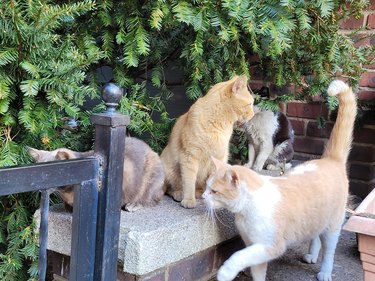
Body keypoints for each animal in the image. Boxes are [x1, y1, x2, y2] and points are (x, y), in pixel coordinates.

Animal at [27, 137, 166, 211]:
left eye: (48, 175)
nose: (39, 187)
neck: (66, 193)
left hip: (152, 175)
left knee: (153, 198)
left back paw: (134, 204)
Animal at [160, 75, 254, 207]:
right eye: (250, 104)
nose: (254, 114)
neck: (219, 125)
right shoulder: (190, 156)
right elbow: (189, 181)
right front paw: (188, 200)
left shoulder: (219, 158)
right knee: (171, 188)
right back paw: (179, 193)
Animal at [204, 79, 356, 280]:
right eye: (206, 187)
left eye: (214, 191)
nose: (203, 197)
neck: (246, 210)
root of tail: (330, 159)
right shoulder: (254, 245)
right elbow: (257, 272)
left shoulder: (270, 246)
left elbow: (239, 256)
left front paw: (226, 272)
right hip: (316, 220)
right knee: (316, 236)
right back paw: (311, 255)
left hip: (333, 226)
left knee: (329, 251)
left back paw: (324, 272)